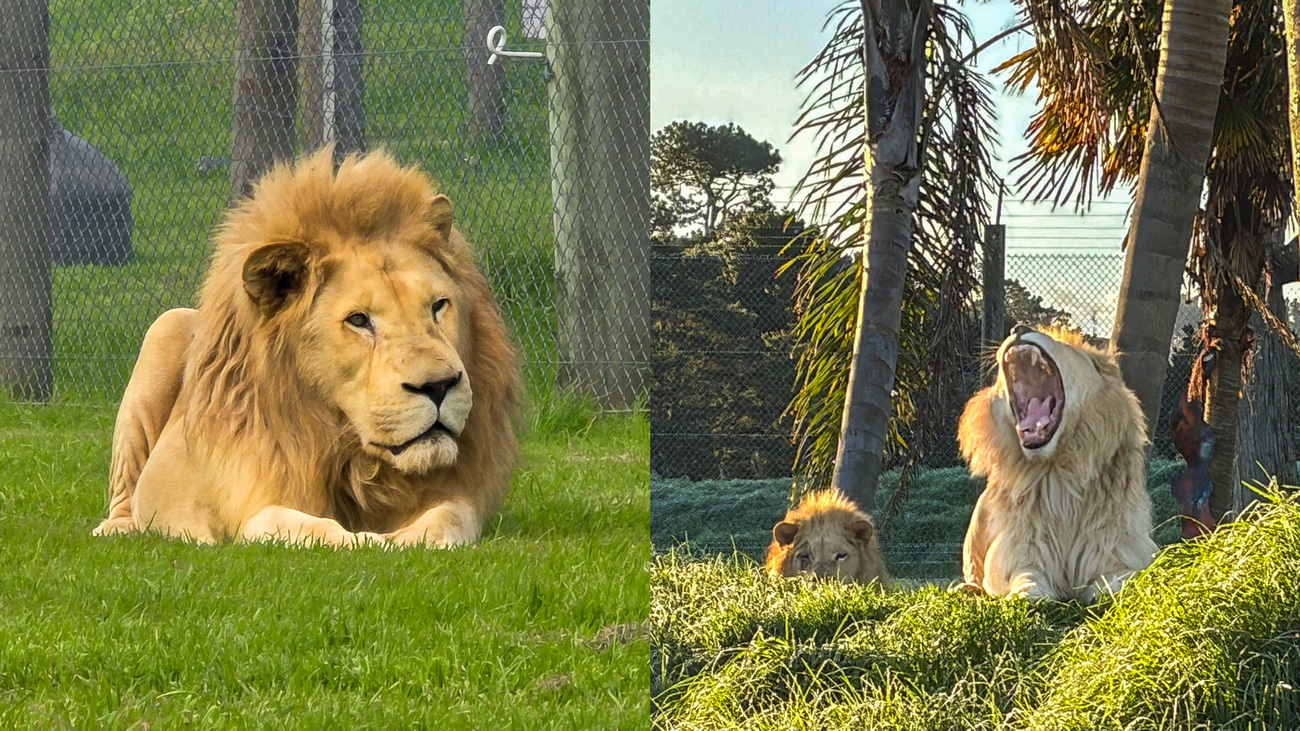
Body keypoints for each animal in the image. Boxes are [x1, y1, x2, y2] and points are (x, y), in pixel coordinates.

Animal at [92, 148, 521, 548]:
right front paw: (366, 541)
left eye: (437, 306)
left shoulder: (456, 496)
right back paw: (118, 529)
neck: (355, 458)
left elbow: (449, 517)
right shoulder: (251, 506)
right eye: (359, 320)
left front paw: (407, 539)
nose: (438, 386)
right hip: (164, 329)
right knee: (125, 494)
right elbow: (306, 526)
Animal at [957, 324, 1156, 602]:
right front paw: (1029, 595)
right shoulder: (1015, 554)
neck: (1059, 476)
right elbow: (1025, 578)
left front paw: (1105, 591)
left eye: (1066, 345)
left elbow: (1120, 578)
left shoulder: (1124, 551)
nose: (1018, 327)